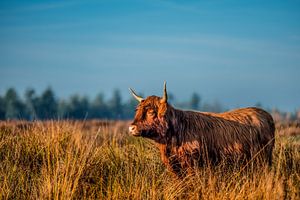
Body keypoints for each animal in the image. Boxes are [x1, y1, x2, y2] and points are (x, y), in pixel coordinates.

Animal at [128, 82, 274, 176]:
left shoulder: (192, 164)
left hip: (262, 159)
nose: (131, 128)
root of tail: (266, 115)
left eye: (151, 112)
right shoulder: (174, 166)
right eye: (137, 111)